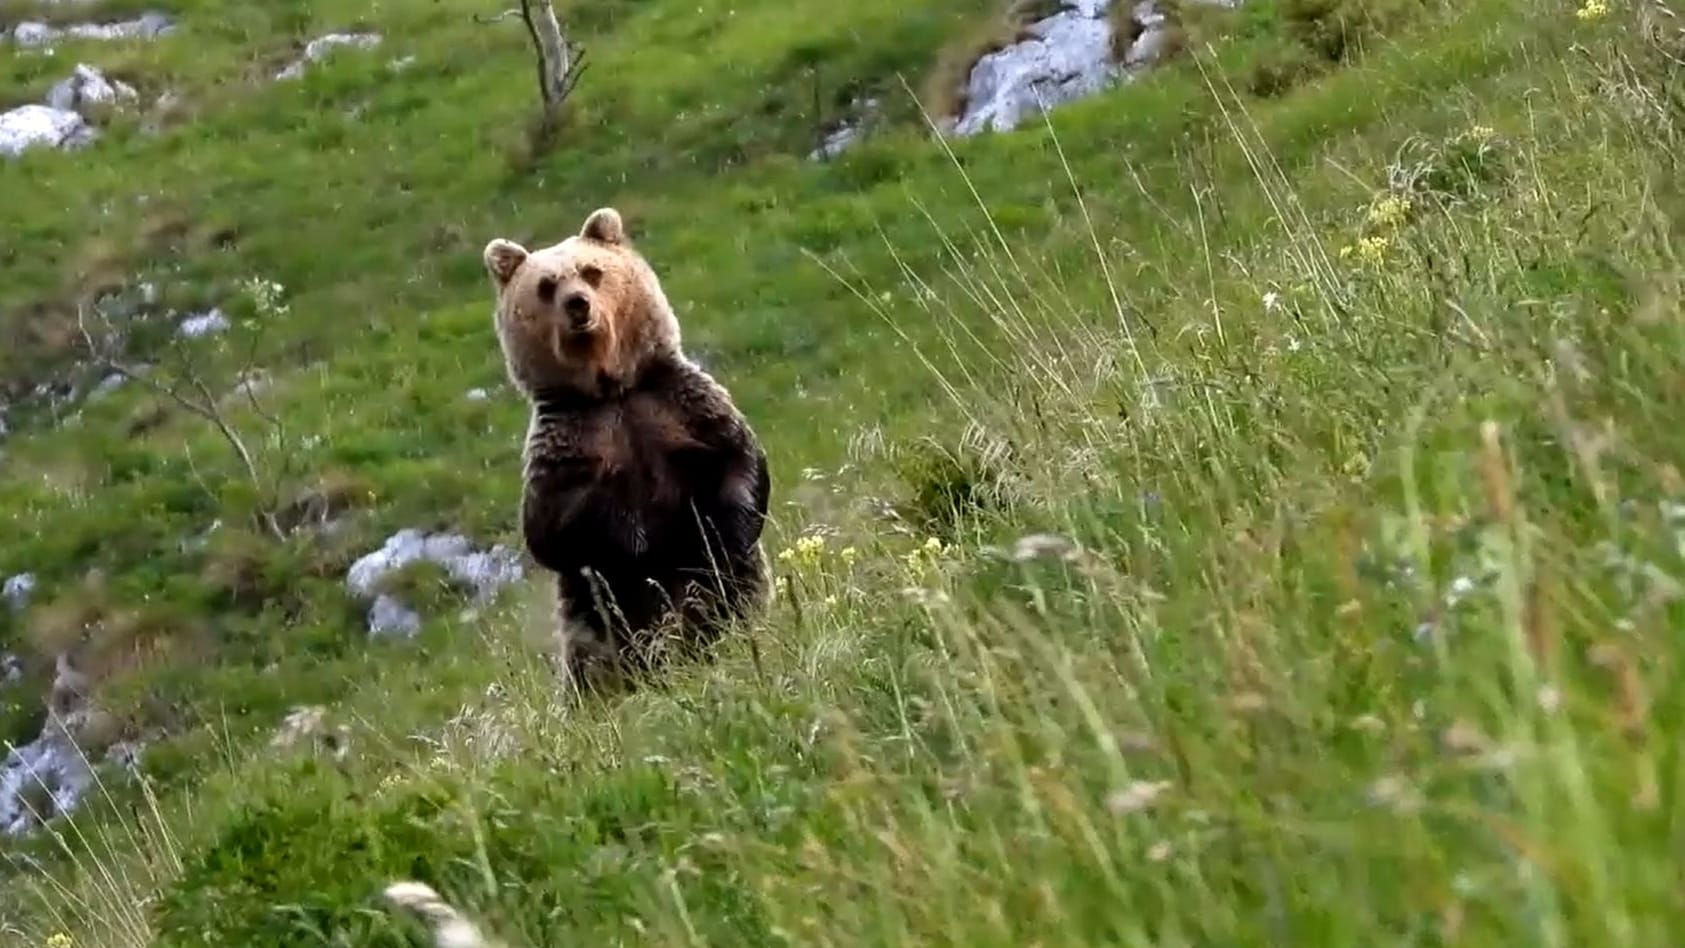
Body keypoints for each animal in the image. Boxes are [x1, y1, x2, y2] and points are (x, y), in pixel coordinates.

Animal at [481, 207, 771, 693]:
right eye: (546, 285)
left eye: (591, 271)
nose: (578, 305)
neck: (611, 389)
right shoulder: (571, 448)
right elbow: (555, 535)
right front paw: (633, 539)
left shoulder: (678, 408)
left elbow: (740, 465)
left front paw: (728, 530)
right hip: (592, 636)